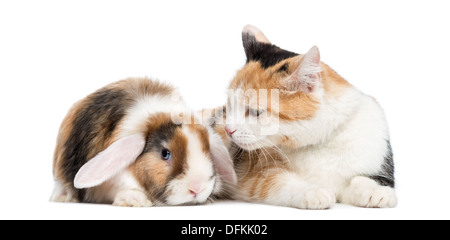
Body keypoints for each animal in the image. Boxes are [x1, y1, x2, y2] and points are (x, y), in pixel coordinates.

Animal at [222, 24, 398, 208]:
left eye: (256, 112)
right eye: (230, 106)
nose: (228, 130)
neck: (320, 143)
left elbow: (364, 178)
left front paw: (375, 191)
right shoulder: (253, 175)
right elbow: (277, 181)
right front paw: (312, 191)